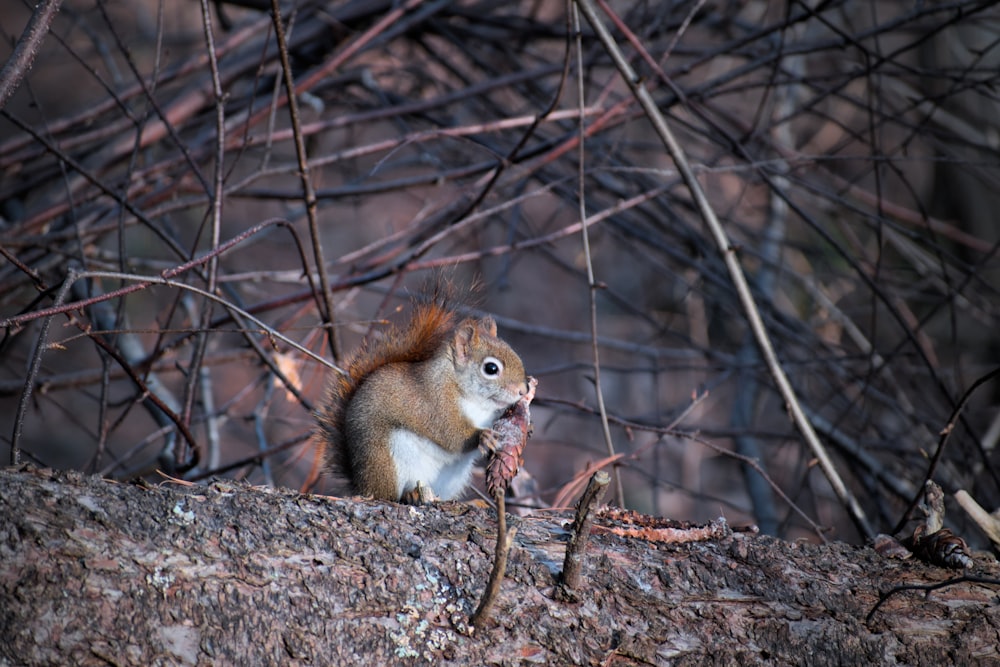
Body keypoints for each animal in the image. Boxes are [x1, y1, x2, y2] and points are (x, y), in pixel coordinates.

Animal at [316, 284, 532, 504]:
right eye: (491, 368)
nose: (523, 390)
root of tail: (361, 485)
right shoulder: (435, 404)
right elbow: (451, 434)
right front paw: (483, 437)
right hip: (387, 460)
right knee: (389, 495)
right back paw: (408, 494)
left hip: (453, 479)